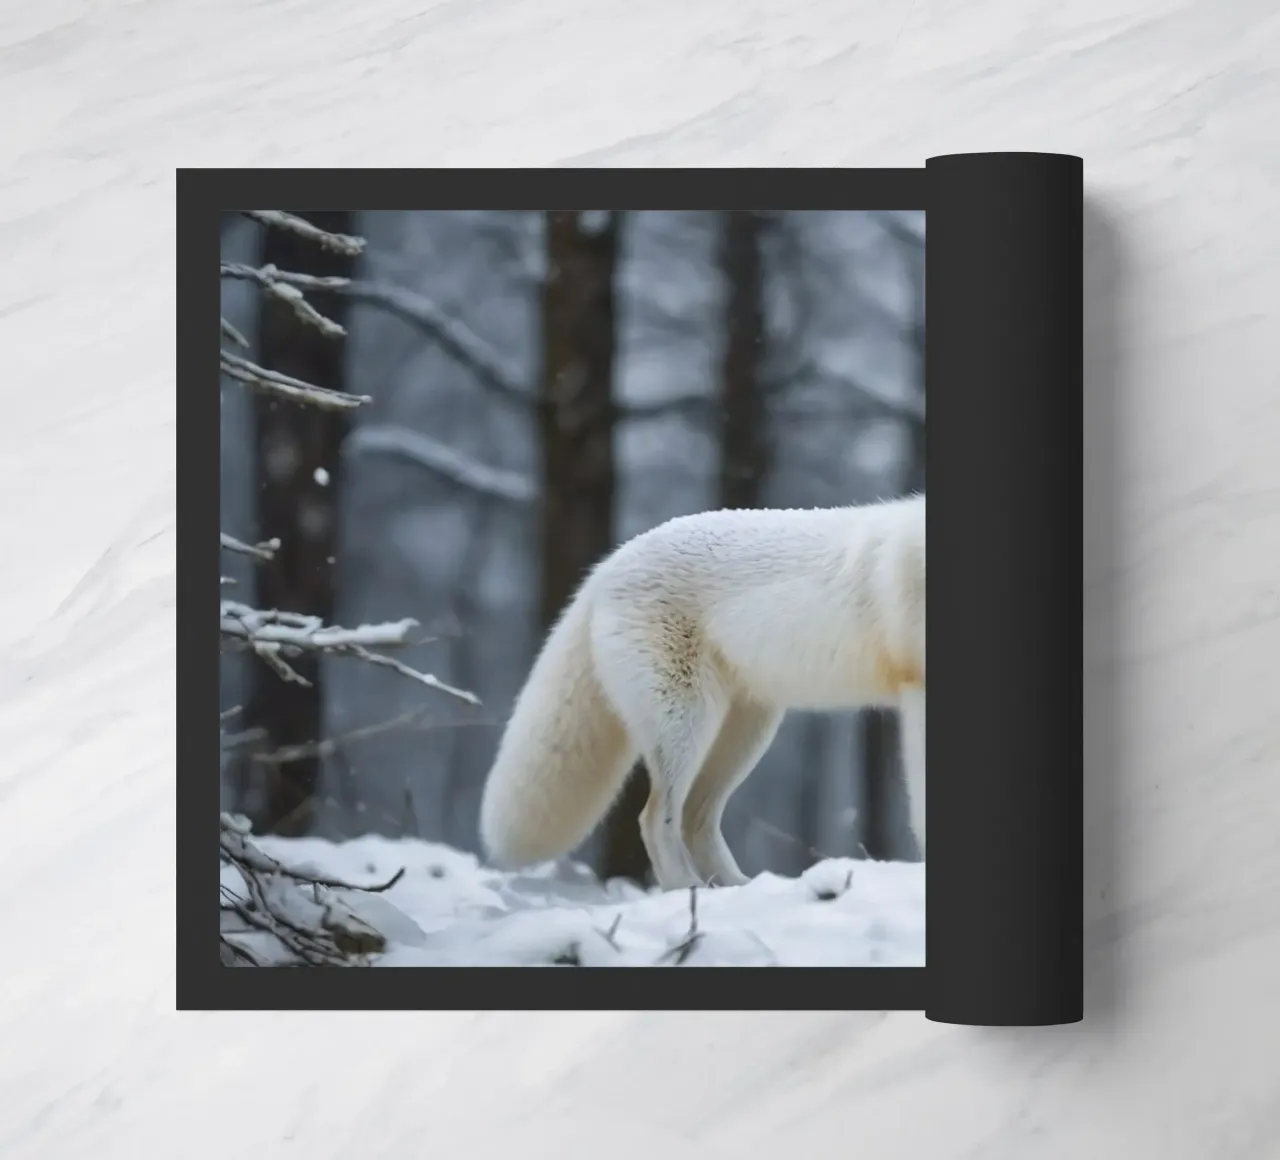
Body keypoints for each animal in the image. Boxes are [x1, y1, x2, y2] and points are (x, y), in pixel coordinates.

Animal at [478, 493, 926, 891]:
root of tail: (611, 562)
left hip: (744, 736)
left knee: (696, 818)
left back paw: (736, 887)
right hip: (687, 727)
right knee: (655, 818)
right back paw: (687, 888)